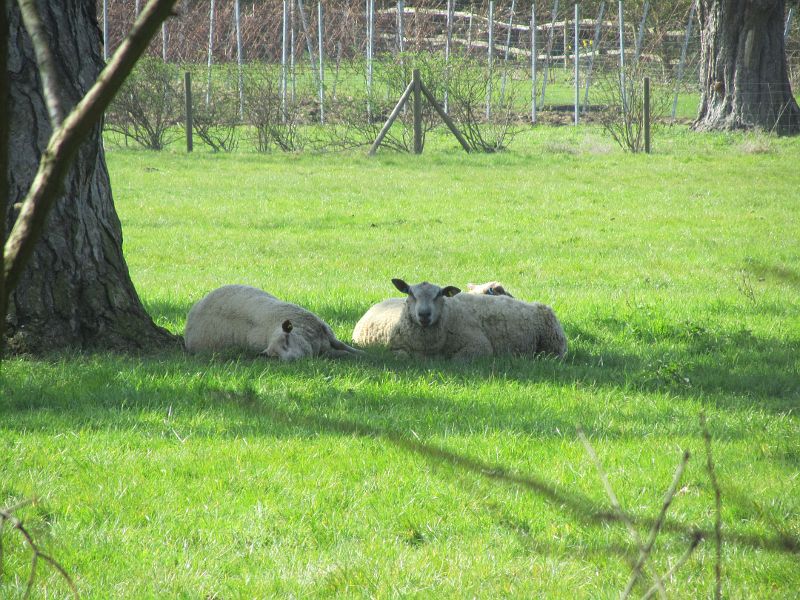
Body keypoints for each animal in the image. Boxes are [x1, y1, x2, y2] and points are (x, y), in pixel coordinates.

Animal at [184, 282, 360, 358]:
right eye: (274, 356)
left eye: (287, 341)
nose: (291, 361)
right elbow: (340, 352)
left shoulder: (328, 334)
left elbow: (346, 348)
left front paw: (362, 354)